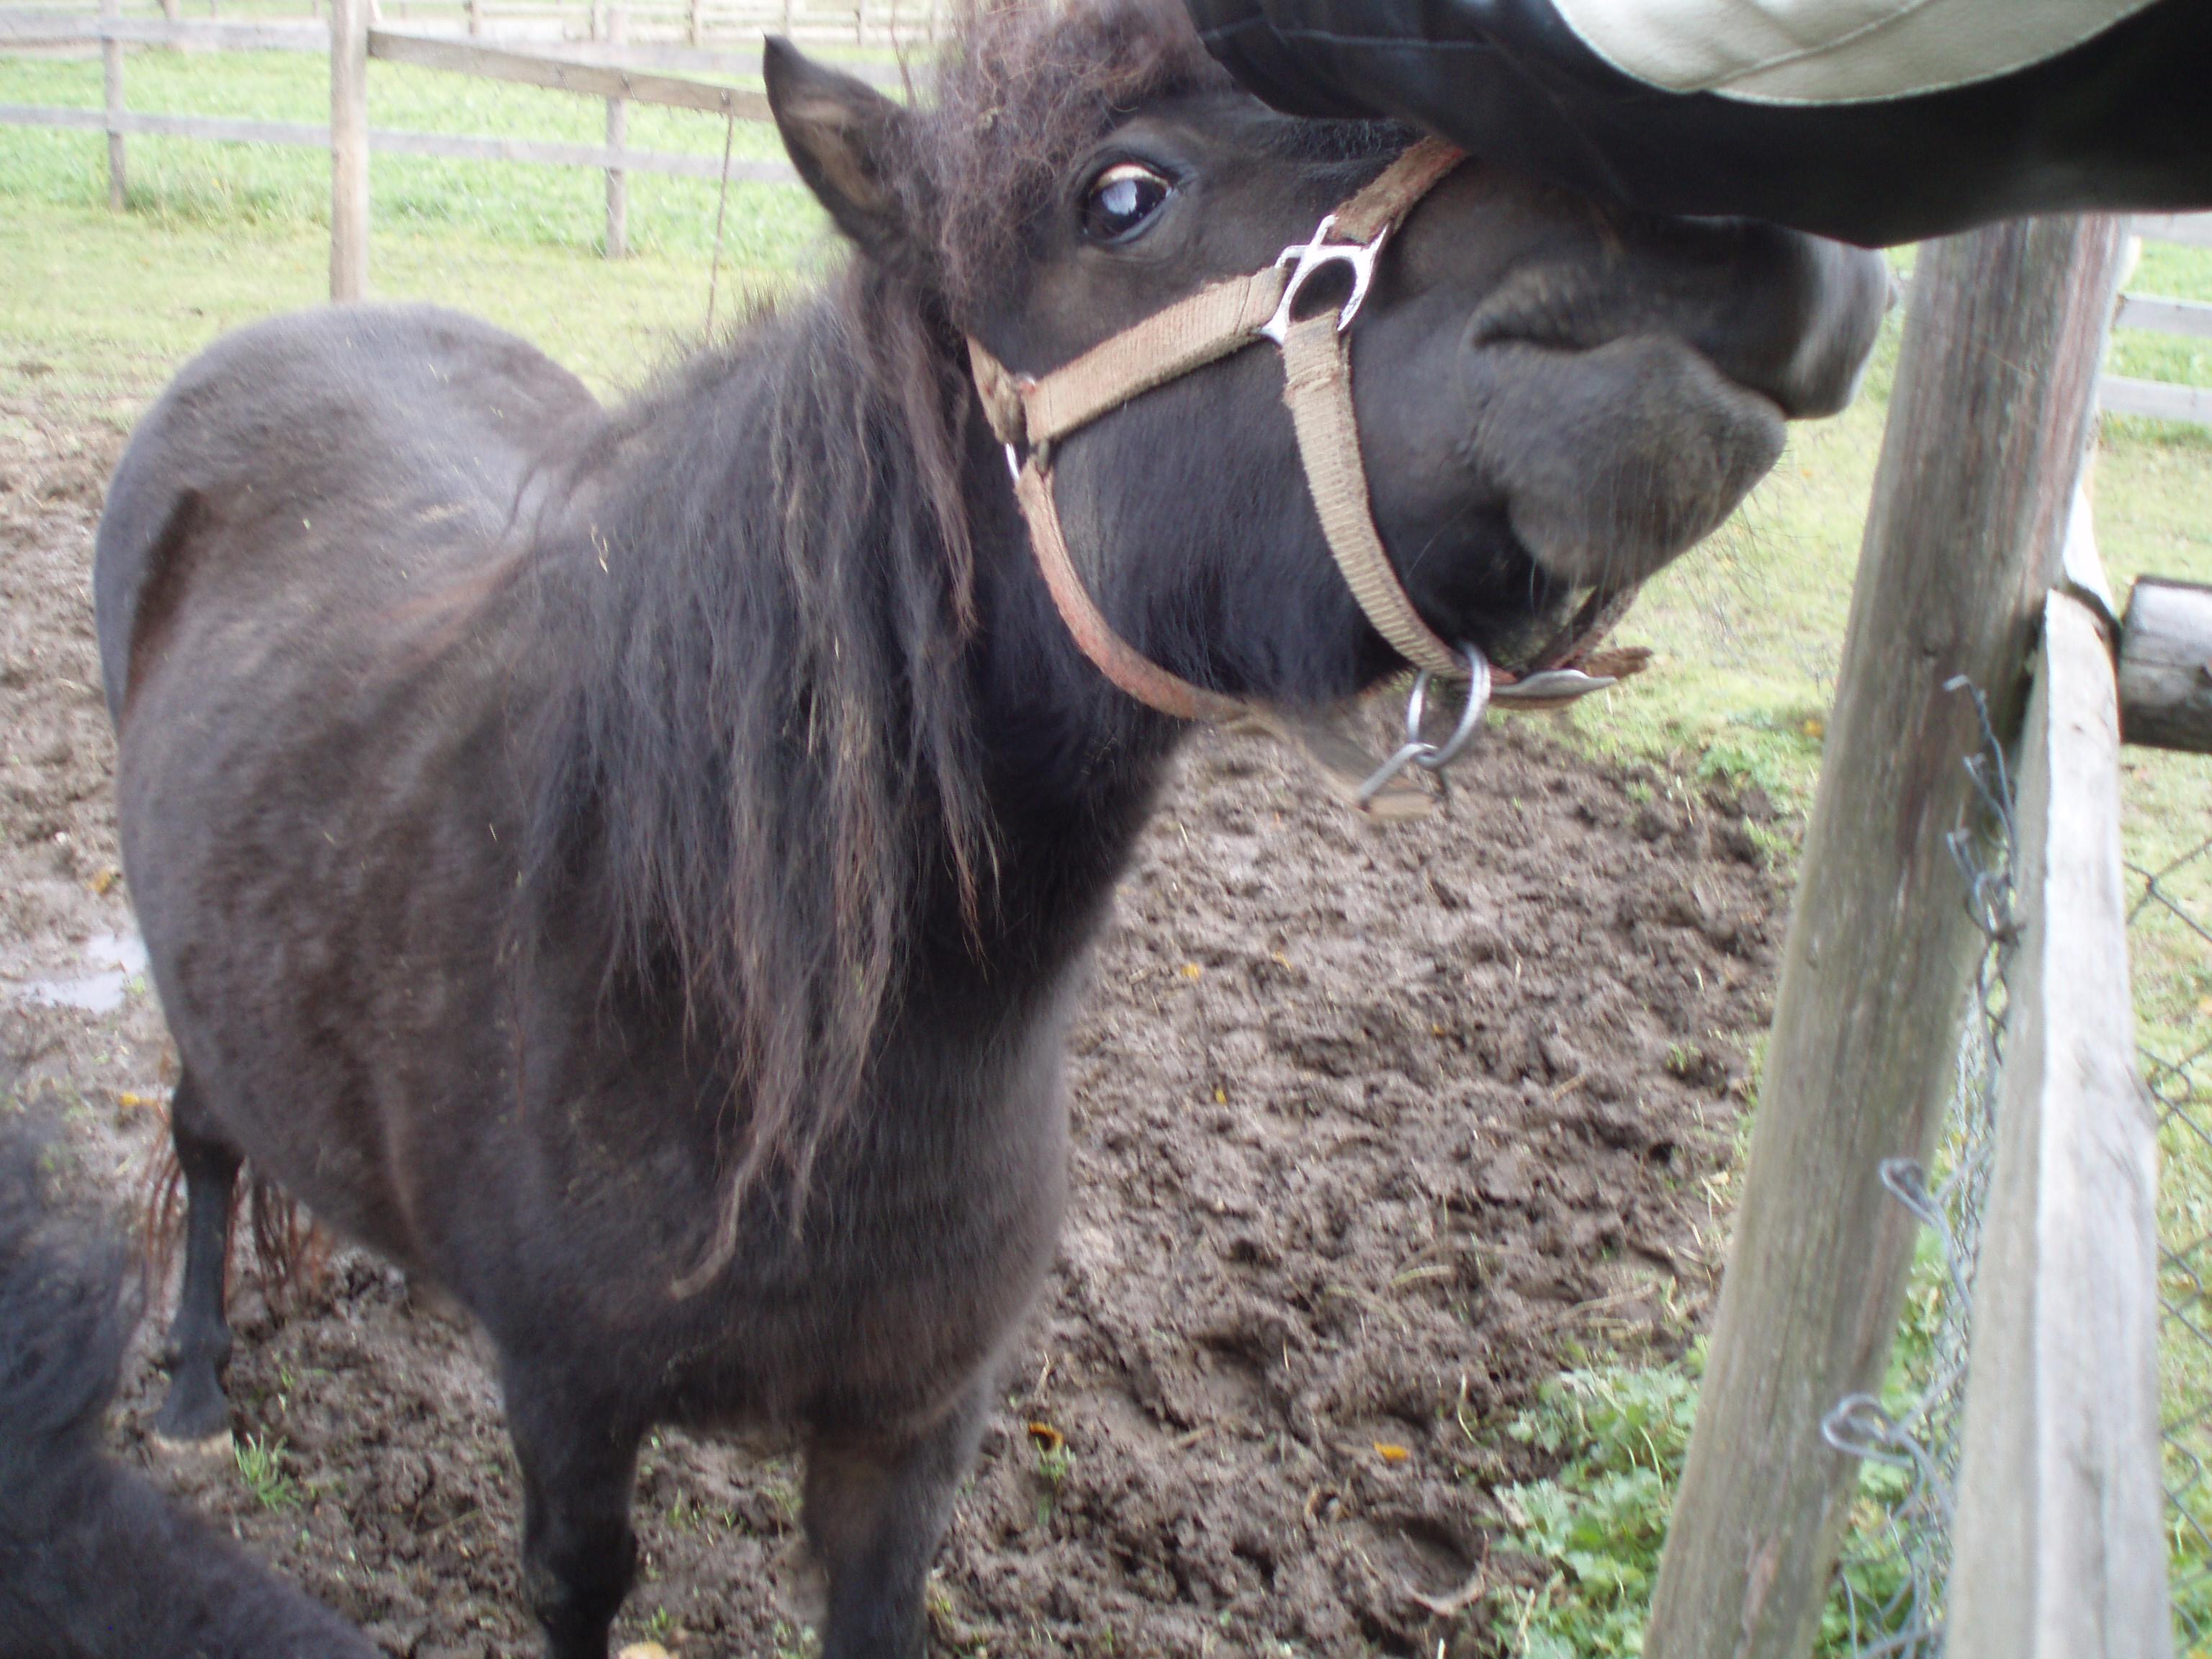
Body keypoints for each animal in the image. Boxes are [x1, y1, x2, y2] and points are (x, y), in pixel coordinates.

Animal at [91, 2, 1889, 1653]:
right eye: (1123, 196)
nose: (1767, 254)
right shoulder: (574, 1415)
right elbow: (578, 1585)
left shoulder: (910, 1440)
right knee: (203, 1135)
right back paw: (189, 1400)